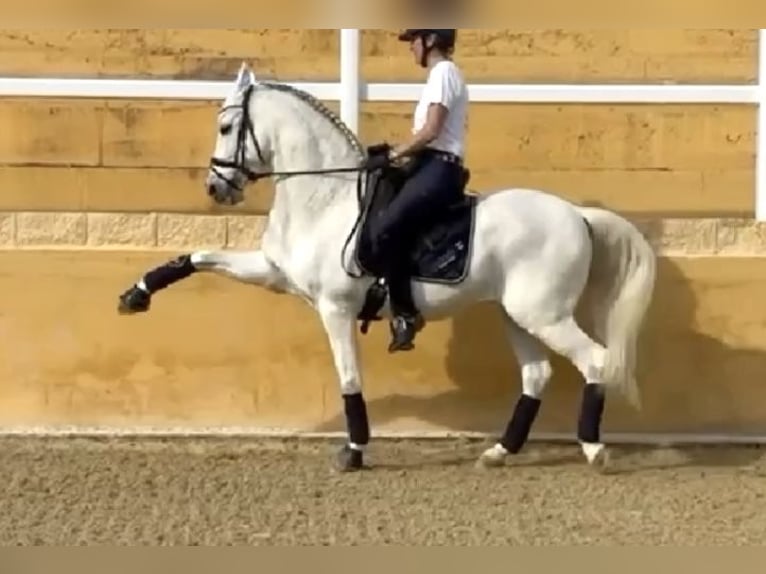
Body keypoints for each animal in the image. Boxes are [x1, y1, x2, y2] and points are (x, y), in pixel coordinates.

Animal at [117, 63, 656, 474]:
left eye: (227, 127)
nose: (216, 188)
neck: (324, 198)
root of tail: (578, 215)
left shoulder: (334, 308)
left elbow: (348, 378)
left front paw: (353, 451)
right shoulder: (274, 272)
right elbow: (200, 257)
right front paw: (136, 295)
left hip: (544, 315)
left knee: (596, 361)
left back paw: (594, 449)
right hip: (517, 315)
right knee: (537, 375)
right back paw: (500, 451)